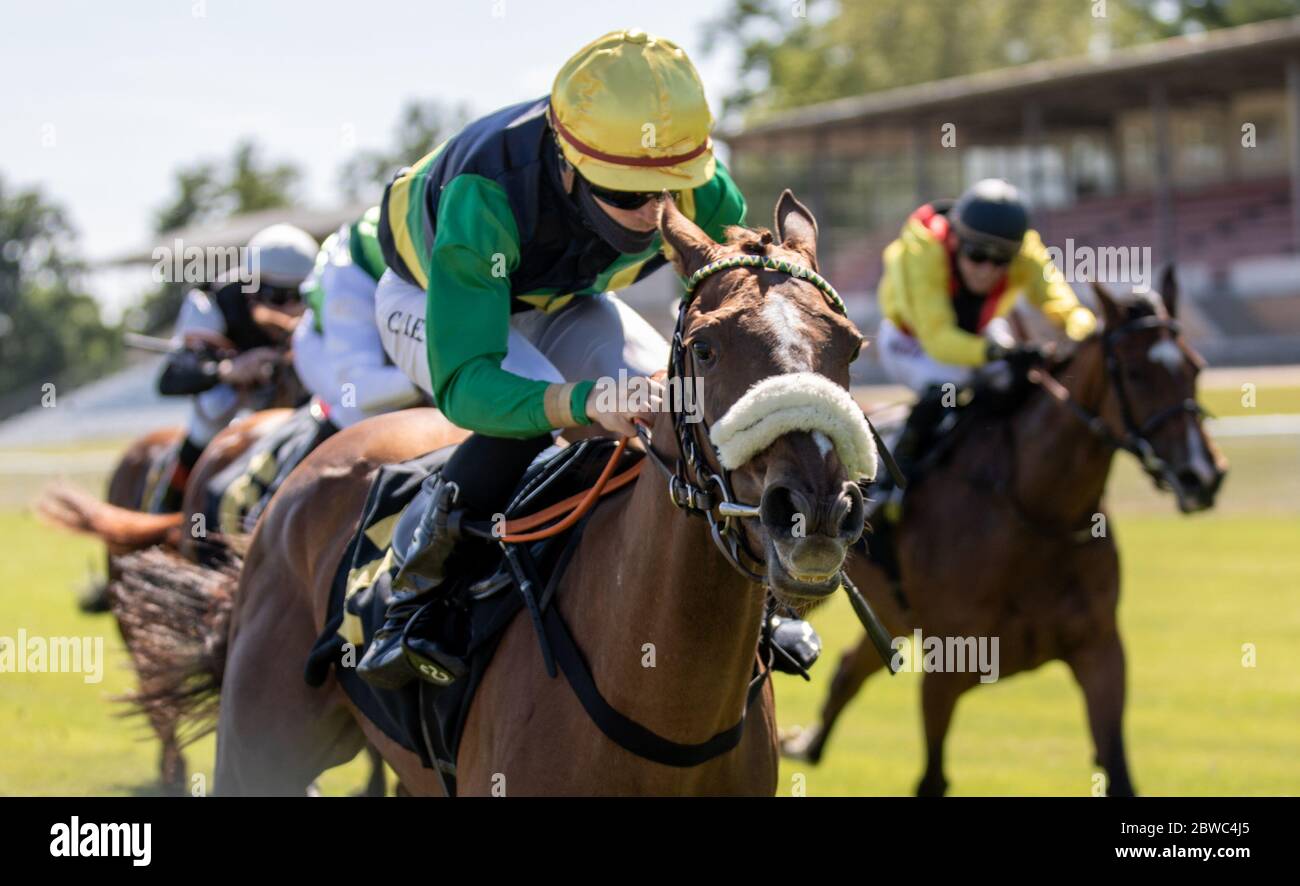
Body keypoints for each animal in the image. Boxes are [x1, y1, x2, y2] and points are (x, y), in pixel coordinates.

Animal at [780, 271, 1227, 795]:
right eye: (1135, 373)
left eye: (1195, 368)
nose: (1202, 475)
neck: (1037, 512)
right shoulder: (947, 666)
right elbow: (932, 778)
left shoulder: (1100, 650)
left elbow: (1117, 770)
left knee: (850, 669)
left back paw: (807, 744)